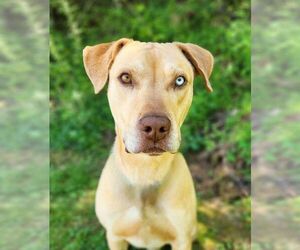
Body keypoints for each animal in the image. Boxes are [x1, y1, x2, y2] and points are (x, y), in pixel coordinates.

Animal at [82, 37, 213, 250]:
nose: (156, 126)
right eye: (126, 77)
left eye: (180, 80)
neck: (145, 171)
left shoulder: (181, 238)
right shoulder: (115, 236)